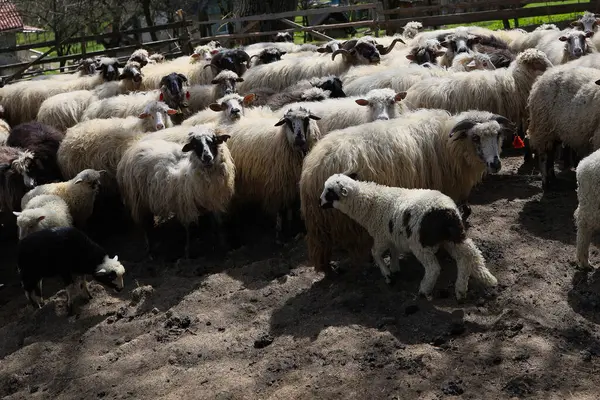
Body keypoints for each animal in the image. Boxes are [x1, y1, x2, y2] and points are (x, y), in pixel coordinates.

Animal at [116, 126, 236, 260]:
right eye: (195, 145)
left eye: (213, 141)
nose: (207, 157)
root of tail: (131, 150)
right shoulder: (186, 204)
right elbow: (190, 229)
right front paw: (188, 253)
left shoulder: (214, 199)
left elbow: (219, 223)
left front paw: (224, 245)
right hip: (139, 200)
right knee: (146, 226)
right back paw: (150, 251)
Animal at [300, 108, 510, 272]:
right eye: (475, 137)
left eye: (498, 135)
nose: (496, 164)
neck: (449, 146)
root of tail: (312, 167)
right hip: (343, 219)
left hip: (319, 219)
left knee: (319, 246)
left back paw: (328, 269)